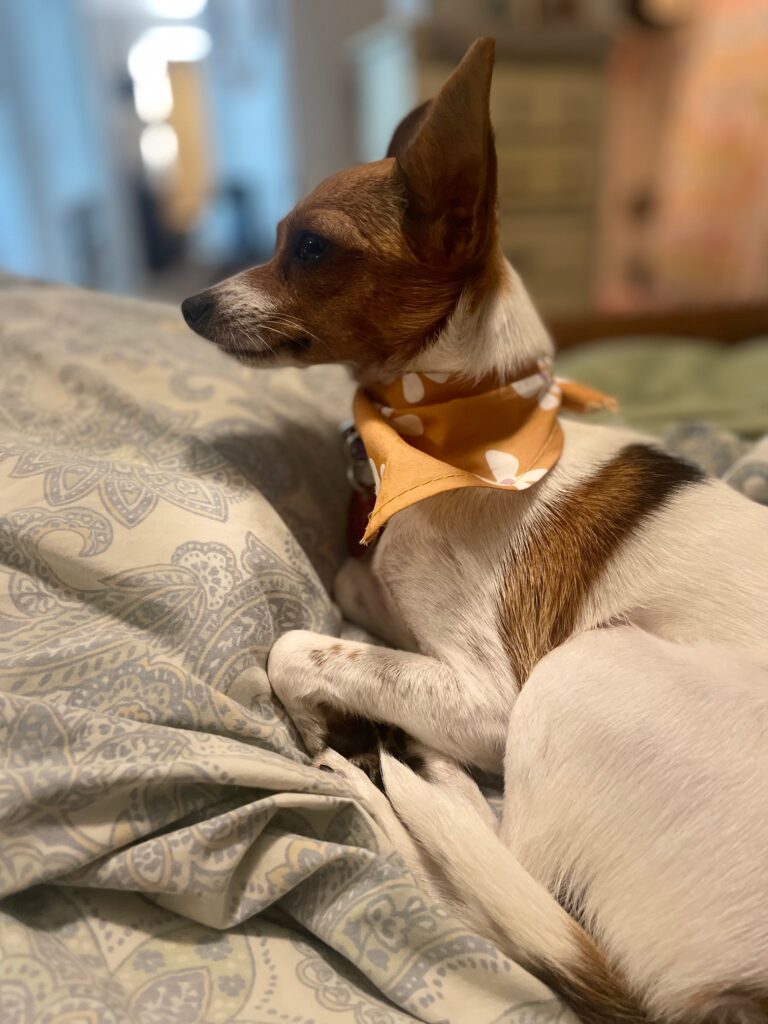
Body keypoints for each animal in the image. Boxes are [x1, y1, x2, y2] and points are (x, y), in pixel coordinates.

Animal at [183, 37, 768, 1024]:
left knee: (509, 880)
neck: (447, 428)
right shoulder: (395, 594)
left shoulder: (493, 698)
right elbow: (357, 584)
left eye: (311, 246)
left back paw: (412, 781)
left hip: (580, 678)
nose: (188, 304)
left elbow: (300, 647)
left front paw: (337, 715)